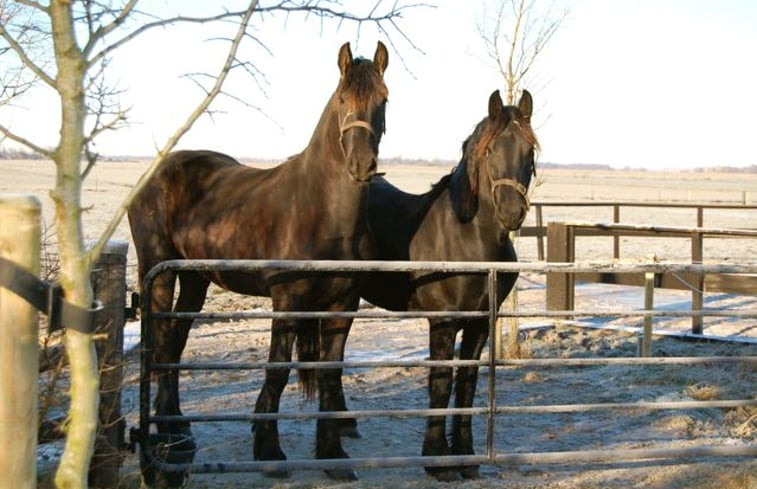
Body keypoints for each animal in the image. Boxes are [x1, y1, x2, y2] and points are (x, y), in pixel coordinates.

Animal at [127, 40, 386, 478]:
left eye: (383, 100)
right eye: (342, 100)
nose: (362, 165)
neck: (321, 209)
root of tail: (153, 173)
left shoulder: (342, 305)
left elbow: (330, 375)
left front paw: (331, 454)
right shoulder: (288, 301)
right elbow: (277, 371)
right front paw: (268, 450)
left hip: (195, 279)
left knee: (174, 344)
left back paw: (176, 422)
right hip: (158, 272)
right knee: (161, 343)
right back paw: (167, 431)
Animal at [352, 89, 536, 478]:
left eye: (530, 151)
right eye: (490, 150)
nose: (512, 213)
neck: (468, 239)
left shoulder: (481, 323)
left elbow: (466, 384)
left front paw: (466, 457)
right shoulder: (443, 321)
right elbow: (440, 383)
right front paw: (437, 460)